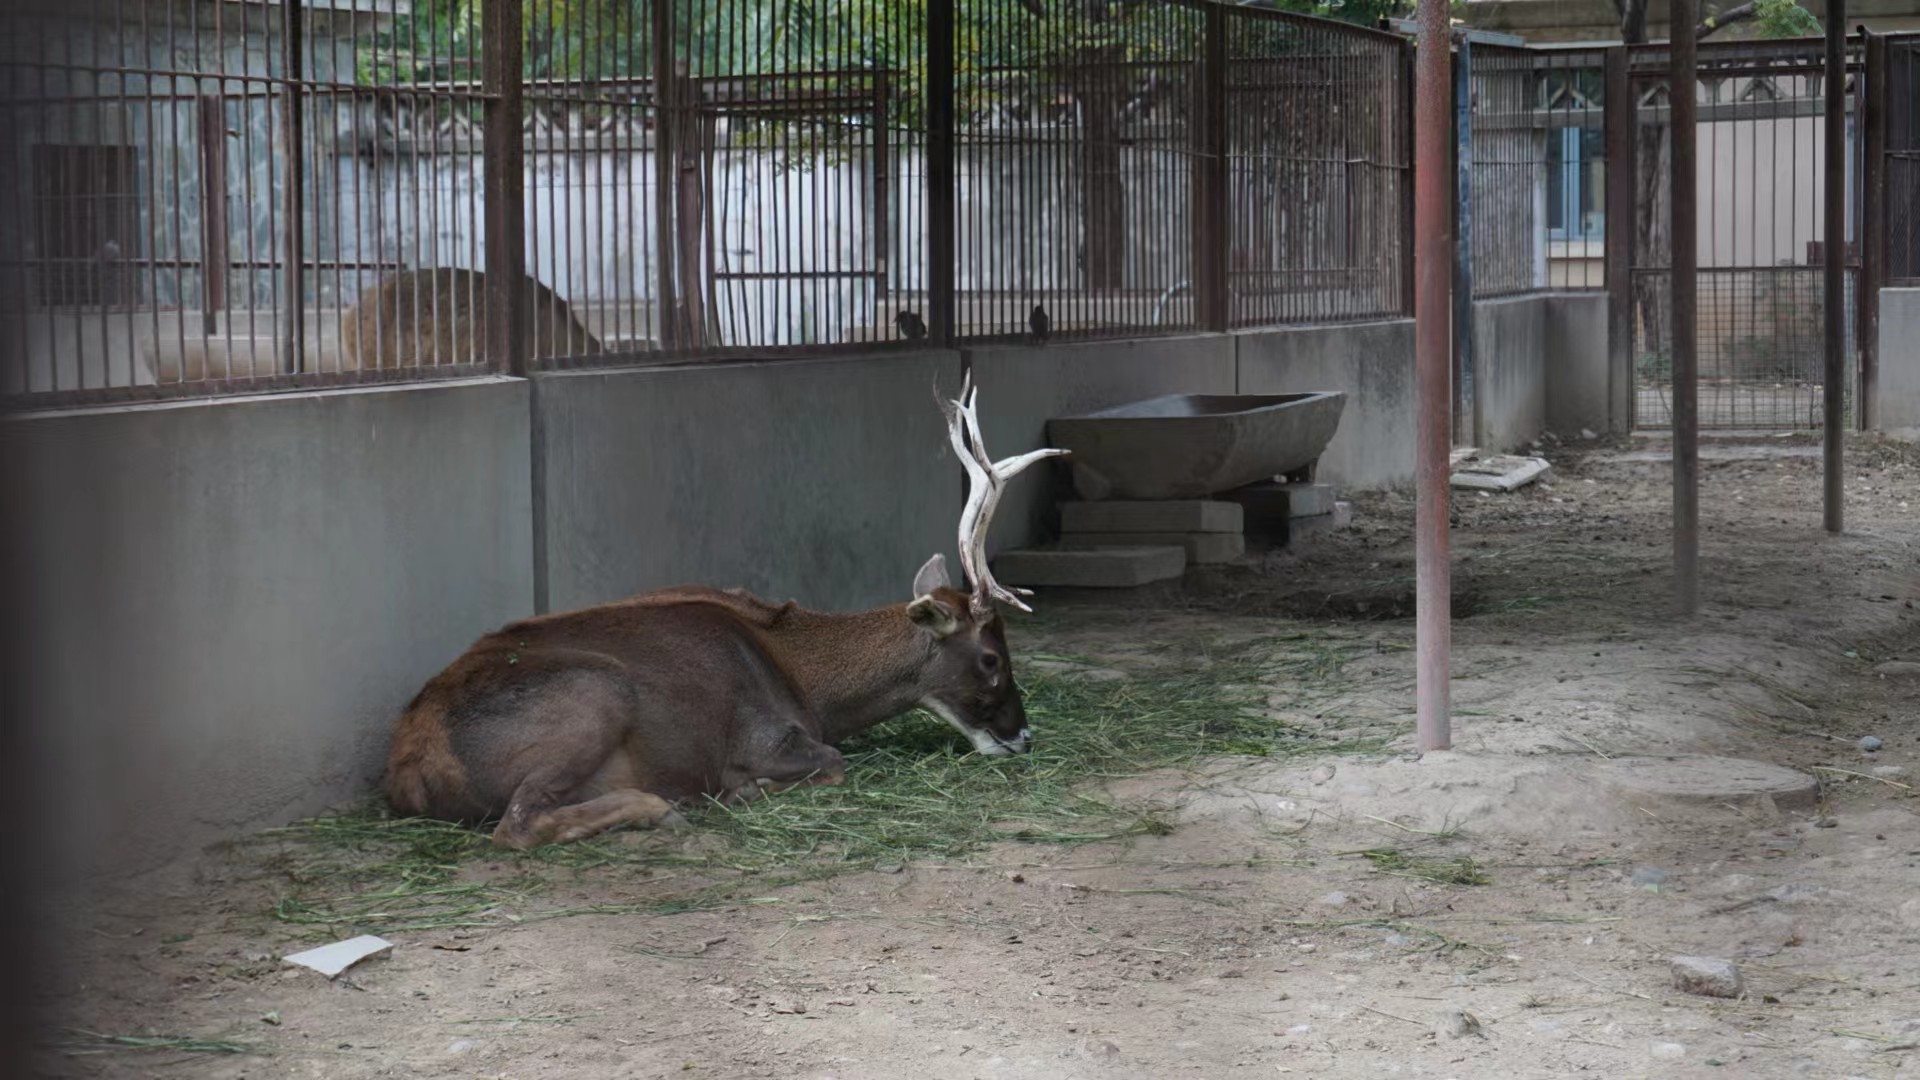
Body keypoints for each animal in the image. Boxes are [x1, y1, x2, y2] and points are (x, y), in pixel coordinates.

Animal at [383, 373, 1068, 850]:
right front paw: (746, 789)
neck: (810, 686)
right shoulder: (765, 735)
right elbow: (832, 762)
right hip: (592, 695)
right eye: (991, 658)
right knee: (517, 825)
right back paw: (661, 806)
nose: (1023, 735)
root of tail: (408, 767)